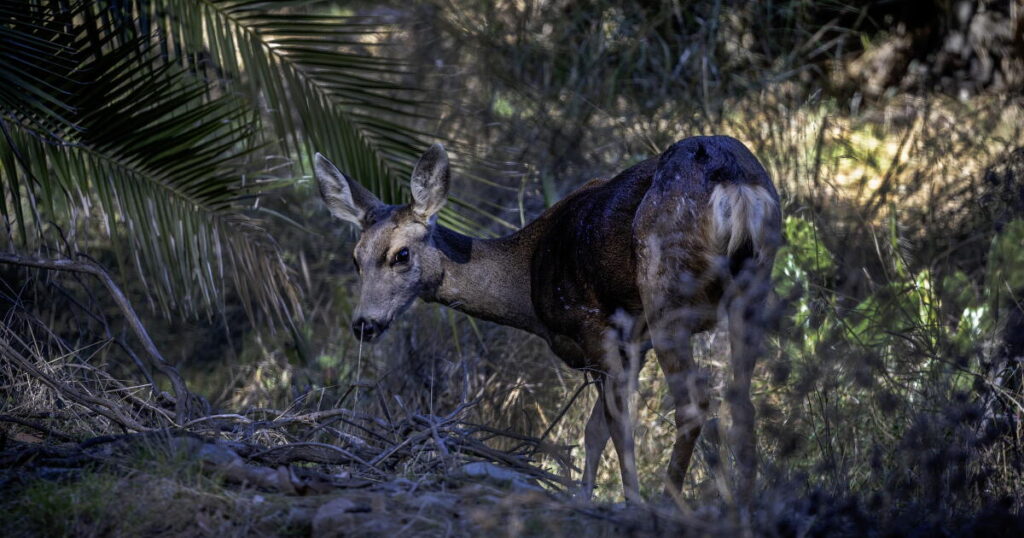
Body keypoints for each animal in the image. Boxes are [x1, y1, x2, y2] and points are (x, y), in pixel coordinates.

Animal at [314, 135, 781, 502]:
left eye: (401, 254)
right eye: (355, 258)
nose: (364, 323)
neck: (526, 282)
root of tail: (735, 182)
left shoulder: (595, 327)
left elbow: (614, 424)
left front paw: (626, 501)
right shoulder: (633, 342)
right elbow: (593, 431)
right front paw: (586, 495)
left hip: (665, 288)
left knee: (693, 403)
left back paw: (668, 503)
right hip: (754, 285)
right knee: (741, 398)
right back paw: (746, 501)